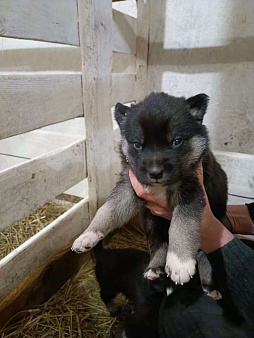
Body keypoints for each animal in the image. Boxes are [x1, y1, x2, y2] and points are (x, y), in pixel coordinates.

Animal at [71, 92, 228, 294]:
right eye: (137, 145)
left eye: (176, 142)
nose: (155, 173)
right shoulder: (129, 186)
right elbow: (107, 209)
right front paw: (89, 234)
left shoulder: (191, 191)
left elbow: (182, 225)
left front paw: (180, 263)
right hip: (151, 221)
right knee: (159, 243)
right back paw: (155, 268)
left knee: (204, 255)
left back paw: (209, 285)